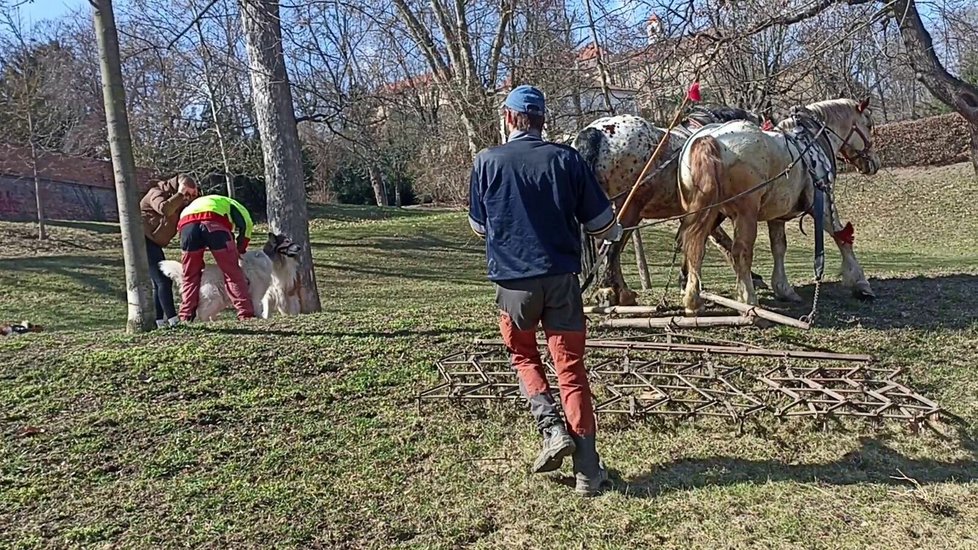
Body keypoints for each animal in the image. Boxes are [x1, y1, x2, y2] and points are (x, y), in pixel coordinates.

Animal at [160, 233, 302, 324]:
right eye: (287, 241)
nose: (300, 247)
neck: (271, 258)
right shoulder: (257, 295)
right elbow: (258, 308)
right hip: (214, 298)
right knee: (202, 313)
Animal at [568, 105, 768, 308]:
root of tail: (595, 133)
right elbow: (716, 241)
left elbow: (692, 239)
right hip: (629, 207)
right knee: (612, 247)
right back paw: (619, 292)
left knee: (606, 246)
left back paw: (608, 290)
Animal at [680, 98, 876, 314]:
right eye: (868, 125)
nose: (873, 163)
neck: (810, 141)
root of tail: (710, 139)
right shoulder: (822, 204)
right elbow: (842, 238)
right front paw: (860, 283)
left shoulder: (777, 215)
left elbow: (779, 247)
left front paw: (783, 288)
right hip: (745, 214)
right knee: (740, 252)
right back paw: (748, 300)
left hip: (705, 213)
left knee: (696, 248)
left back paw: (693, 300)